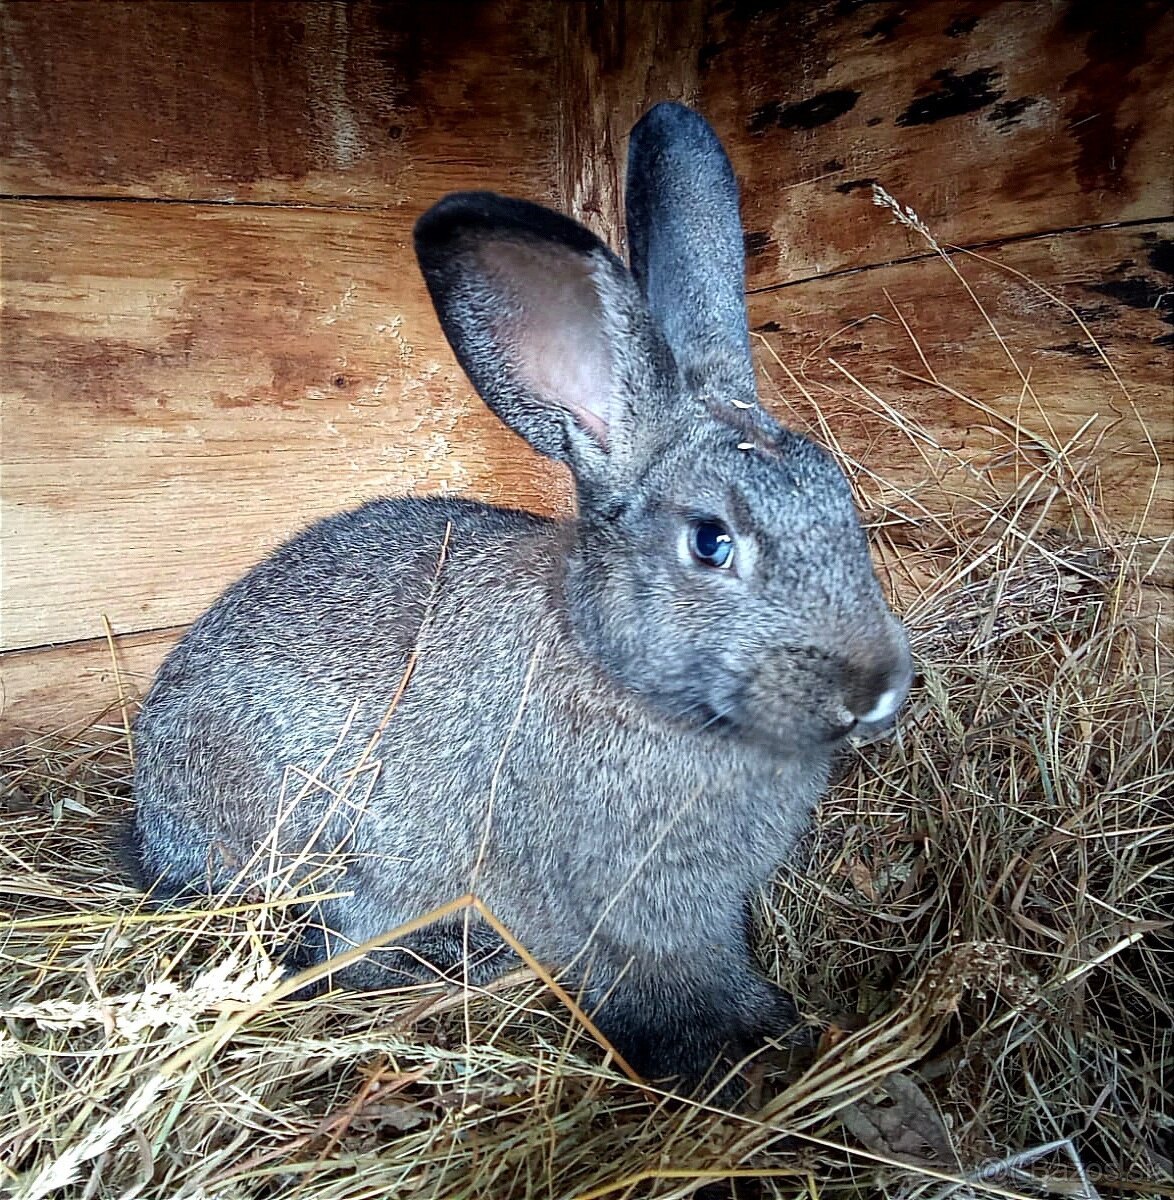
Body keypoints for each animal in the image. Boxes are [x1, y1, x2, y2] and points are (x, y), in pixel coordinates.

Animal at [126, 103, 907, 1089]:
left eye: (843, 503)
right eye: (710, 541)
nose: (875, 690)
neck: (624, 678)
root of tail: (150, 814)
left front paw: (768, 1023)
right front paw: (706, 1049)